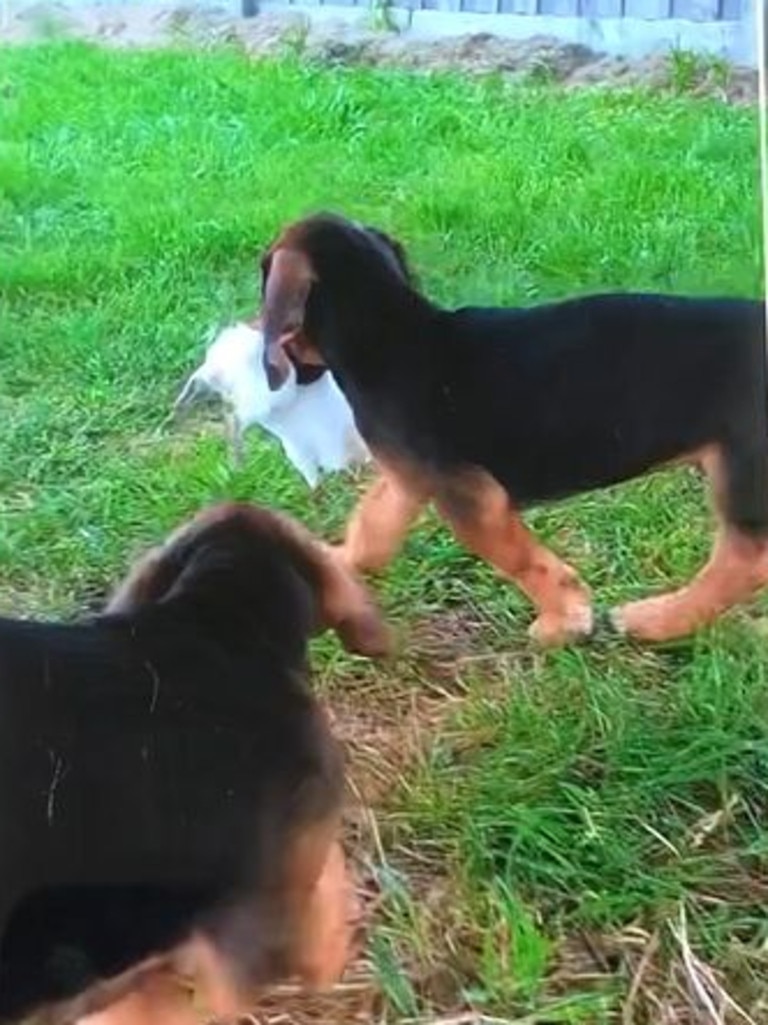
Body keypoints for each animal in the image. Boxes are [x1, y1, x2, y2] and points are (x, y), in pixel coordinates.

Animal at [256, 212, 766, 643]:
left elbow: (522, 561)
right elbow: (372, 526)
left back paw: (659, 619)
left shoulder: (472, 498)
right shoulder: (412, 476)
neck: (392, 333)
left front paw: (564, 620)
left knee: (744, 561)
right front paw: (333, 564)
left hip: (741, 468)